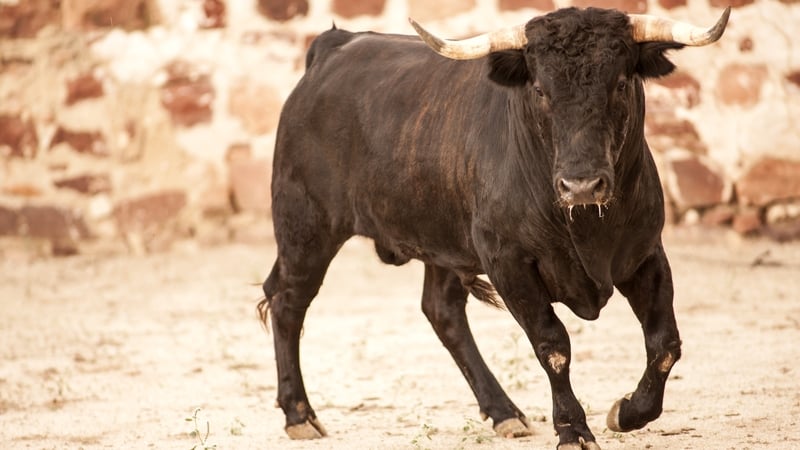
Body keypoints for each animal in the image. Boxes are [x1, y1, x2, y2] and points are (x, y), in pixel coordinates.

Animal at [257, 6, 730, 449]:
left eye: (618, 84)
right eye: (539, 89)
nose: (581, 185)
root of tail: (334, 48)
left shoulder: (646, 254)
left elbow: (664, 344)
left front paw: (627, 412)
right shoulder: (509, 262)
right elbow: (553, 346)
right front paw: (573, 430)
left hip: (443, 241)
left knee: (442, 311)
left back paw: (504, 412)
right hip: (305, 227)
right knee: (287, 302)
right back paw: (299, 415)